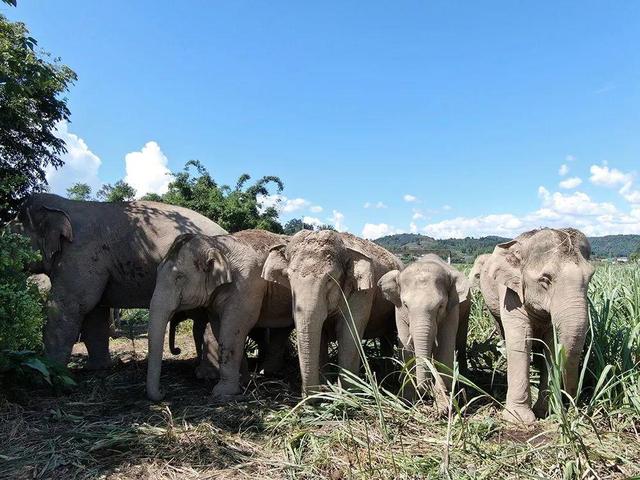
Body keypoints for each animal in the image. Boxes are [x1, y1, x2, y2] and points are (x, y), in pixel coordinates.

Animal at [9, 193, 227, 369]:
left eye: (13, 235)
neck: (63, 205)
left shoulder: (79, 253)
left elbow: (71, 305)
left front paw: (48, 372)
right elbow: (95, 313)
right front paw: (97, 369)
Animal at [146, 229, 294, 402]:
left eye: (179, 277)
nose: (163, 393)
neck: (217, 245)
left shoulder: (247, 286)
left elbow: (233, 329)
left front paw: (223, 392)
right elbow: (219, 327)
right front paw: (243, 382)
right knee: (282, 330)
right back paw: (268, 372)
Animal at [261, 230, 401, 396]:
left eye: (329, 279)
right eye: (288, 277)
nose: (310, 396)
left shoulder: (363, 292)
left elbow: (348, 334)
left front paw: (347, 393)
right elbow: (320, 334)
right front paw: (326, 388)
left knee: (388, 337)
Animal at [378, 254, 471, 410]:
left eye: (440, 306)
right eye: (406, 305)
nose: (426, 395)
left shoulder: (452, 309)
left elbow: (445, 348)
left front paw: (444, 408)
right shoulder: (398, 311)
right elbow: (406, 348)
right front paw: (407, 402)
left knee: (460, 341)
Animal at [479, 228, 594, 424]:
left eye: (590, 277)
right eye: (545, 280)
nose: (573, 403)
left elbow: (551, 345)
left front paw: (545, 412)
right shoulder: (510, 293)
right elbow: (520, 339)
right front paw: (519, 419)